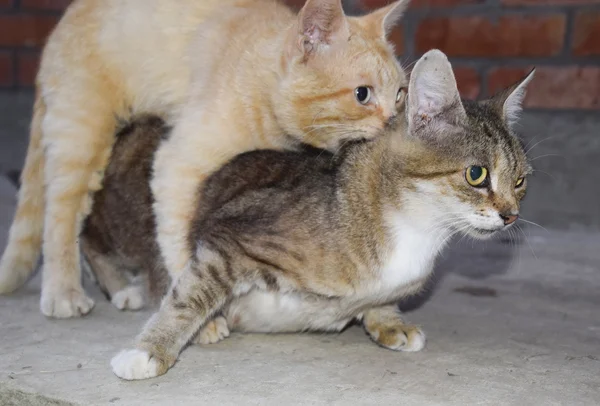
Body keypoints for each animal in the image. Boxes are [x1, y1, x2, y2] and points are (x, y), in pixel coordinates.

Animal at [0, 0, 410, 318]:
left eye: (401, 94)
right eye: (362, 94)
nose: (394, 120)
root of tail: (61, 24)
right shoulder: (174, 166)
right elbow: (180, 246)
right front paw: (202, 316)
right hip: (82, 137)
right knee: (62, 218)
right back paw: (63, 292)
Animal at [76, 49, 536, 380]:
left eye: (520, 180)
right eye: (476, 174)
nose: (511, 216)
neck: (415, 230)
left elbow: (381, 301)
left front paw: (388, 321)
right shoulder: (229, 239)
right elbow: (187, 297)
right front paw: (148, 352)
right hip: (120, 220)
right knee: (91, 238)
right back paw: (124, 290)